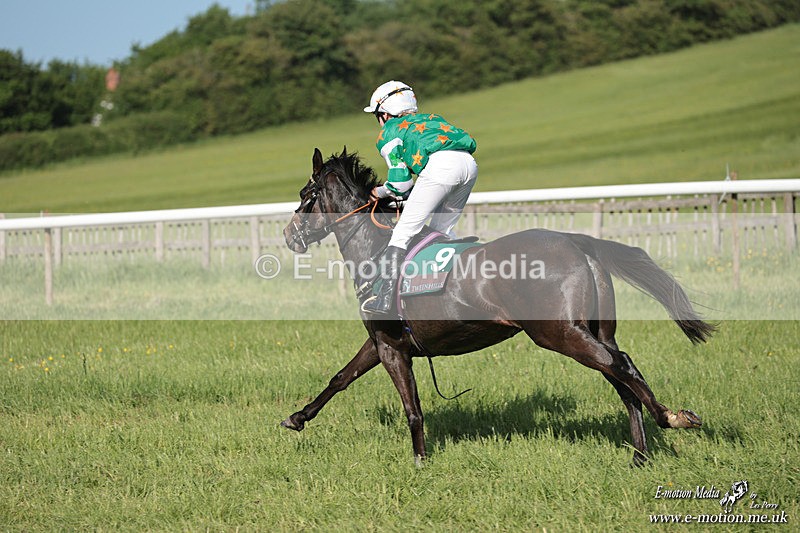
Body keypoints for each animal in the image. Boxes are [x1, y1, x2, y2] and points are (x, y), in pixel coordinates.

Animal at [281, 148, 715, 466]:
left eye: (305, 196)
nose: (289, 235)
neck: (376, 249)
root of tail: (577, 242)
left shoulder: (391, 347)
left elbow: (412, 407)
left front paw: (420, 460)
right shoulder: (382, 342)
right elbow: (341, 377)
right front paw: (297, 417)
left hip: (559, 332)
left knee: (621, 365)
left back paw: (672, 418)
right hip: (594, 330)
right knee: (622, 379)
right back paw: (640, 455)